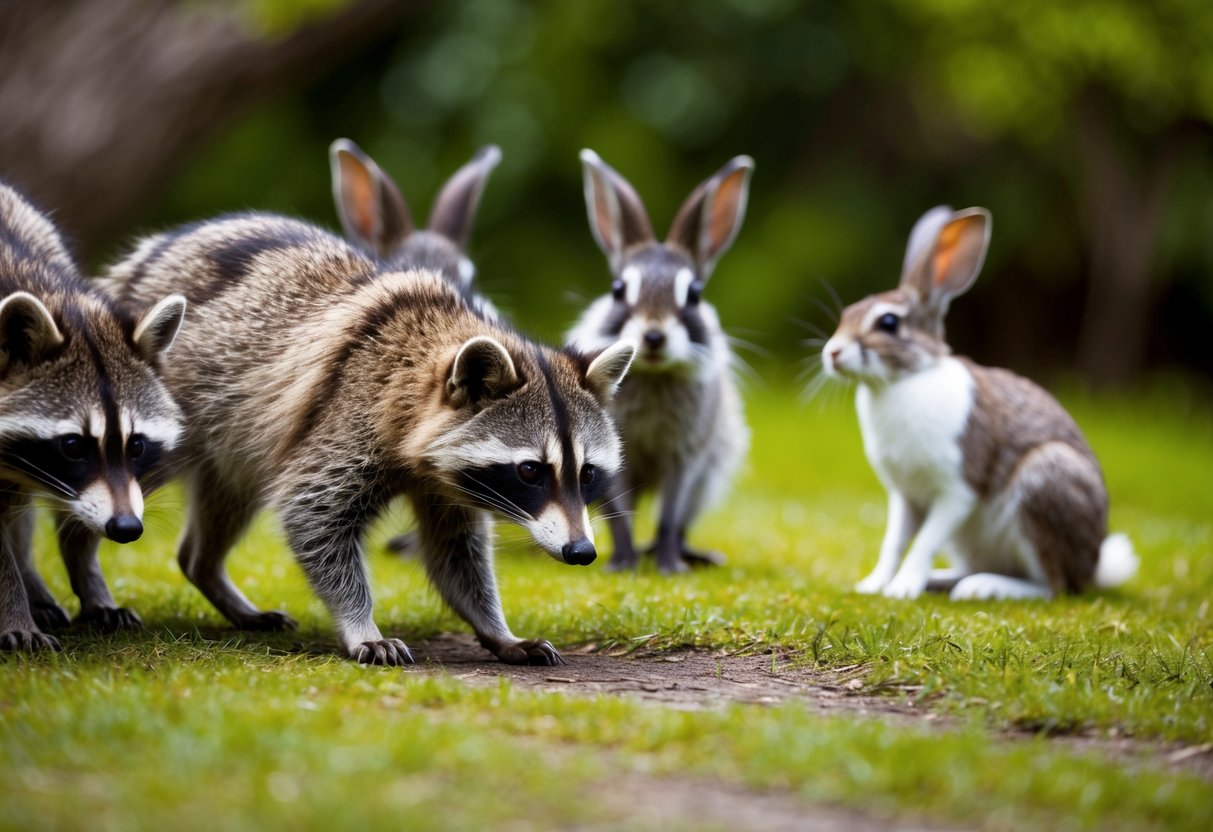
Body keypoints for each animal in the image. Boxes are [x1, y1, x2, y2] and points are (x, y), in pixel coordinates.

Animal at [0, 182, 185, 650]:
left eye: (136, 445)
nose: (127, 528)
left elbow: (80, 511)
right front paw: (12, 609)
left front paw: (90, 583)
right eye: (72, 446)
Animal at [102, 213, 635, 665]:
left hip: (232, 446)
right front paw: (361, 624)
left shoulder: (447, 481)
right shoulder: (345, 416)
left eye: (587, 473)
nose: (581, 552)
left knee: (225, 501)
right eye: (530, 471)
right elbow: (313, 514)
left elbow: (456, 551)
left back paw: (206, 568)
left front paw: (495, 627)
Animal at [566, 151, 751, 574]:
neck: (652, 376)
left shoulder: (687, 459)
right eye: (618, 290)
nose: (653, 336)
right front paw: (622, 563)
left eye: (694, 294)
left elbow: (670, 514)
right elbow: (619, 515)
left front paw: (669, 567)